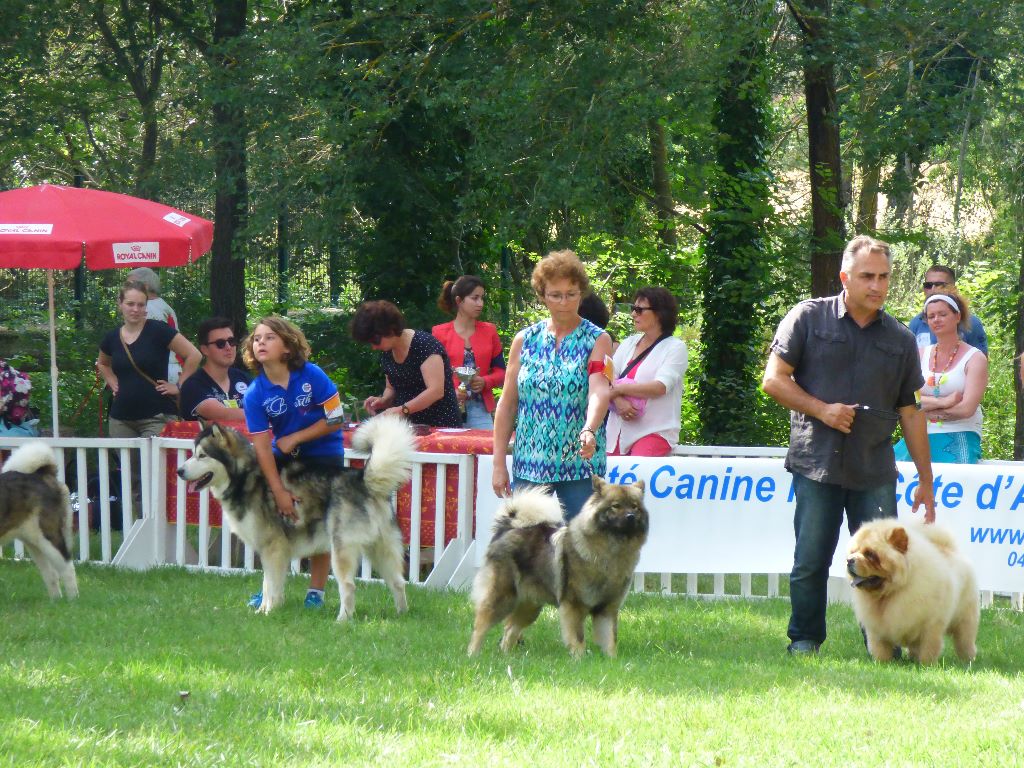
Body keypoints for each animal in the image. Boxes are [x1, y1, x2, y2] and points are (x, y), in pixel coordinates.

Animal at [0, 442, 79, 599]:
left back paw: (74, 600)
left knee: (67, 568)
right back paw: (56, 601)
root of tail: (40, 474)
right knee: (51, 574)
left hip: (49, 537)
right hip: (34, 543)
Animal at [177, 415, 416, 620]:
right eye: (192, 452)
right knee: (398, 582)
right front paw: (263, 610)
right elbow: (267, 584)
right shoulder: (271, 551)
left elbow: (271, 586)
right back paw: (402, 614)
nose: (179, 471)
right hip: (382, 548)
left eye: (202, 455)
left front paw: (269, 612)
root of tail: (362, 479)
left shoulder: (273, 548)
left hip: (342, 549)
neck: (245, 476)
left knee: (348, 586)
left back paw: (342, 620)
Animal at [468, 476, 649, 658]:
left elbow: (610, 638)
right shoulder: (574, 605)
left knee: (510, 629)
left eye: (635, 506)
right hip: (502, 597)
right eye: (616, 506)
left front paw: (612, 660)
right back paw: (473, 655)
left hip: (530, 606)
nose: (631, 516)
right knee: (480, 626)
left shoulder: (607, 608)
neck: (612, 550)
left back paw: (507, 656)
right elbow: (578, 637)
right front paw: (579, 659)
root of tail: (507, 528)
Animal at [847, 518, 978, 663]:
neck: (890, 594)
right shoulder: (877, 630)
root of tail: (949, 549)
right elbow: (881, 649)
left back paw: (968, 660)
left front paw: (926, 665)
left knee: (964, 640)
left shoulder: (931, 626)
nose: (849, 560)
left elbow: (929, 648)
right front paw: (882, 663)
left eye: (870, 554)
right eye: (853, 552)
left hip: (965, 619)